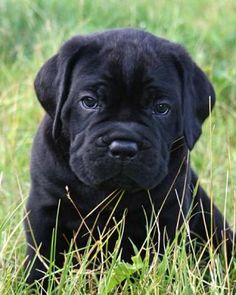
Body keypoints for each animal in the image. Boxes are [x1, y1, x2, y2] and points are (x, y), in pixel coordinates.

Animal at [24, 29, 234, 286]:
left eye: (161, 108)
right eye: (89, 102)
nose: (123, 147)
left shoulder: (167, 215)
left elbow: (162, 263)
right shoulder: (44, 209)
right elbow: (42, 259)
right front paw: (36, 286)